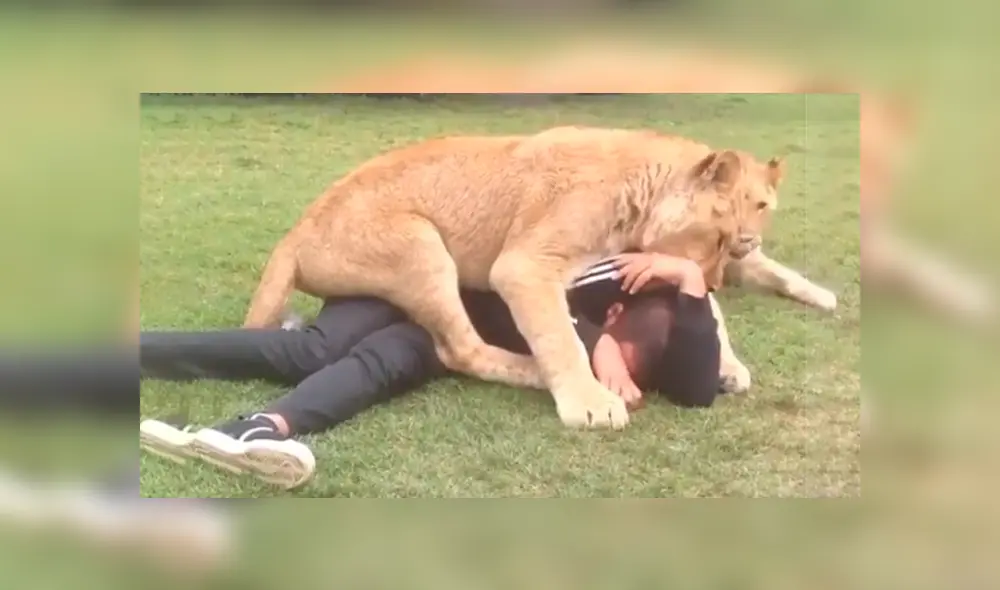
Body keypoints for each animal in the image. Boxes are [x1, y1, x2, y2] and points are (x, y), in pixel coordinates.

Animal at [242, 125, 783, 429]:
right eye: (721, 238)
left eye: (753, 222)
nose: (719, 277)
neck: (641, 190)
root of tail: (295, 232)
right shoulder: (524, 265)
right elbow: (562, 338)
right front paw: (590, 404)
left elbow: (708, 313)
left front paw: (728, 365)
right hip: (422, 246)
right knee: (461, 350)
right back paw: (536, 373)